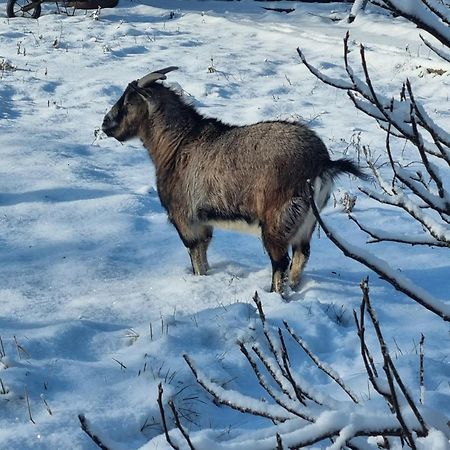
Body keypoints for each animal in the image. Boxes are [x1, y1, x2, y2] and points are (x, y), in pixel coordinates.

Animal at [103, 66, 366, 292]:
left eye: (127, 101)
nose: (106, 124)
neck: (176, 145)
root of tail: (323, 163)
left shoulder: (185, 219)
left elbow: (196, 256)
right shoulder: (204, 222)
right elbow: (204, 254)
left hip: (278, 220)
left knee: (280, 262)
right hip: (307, 222)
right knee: (301, 255)